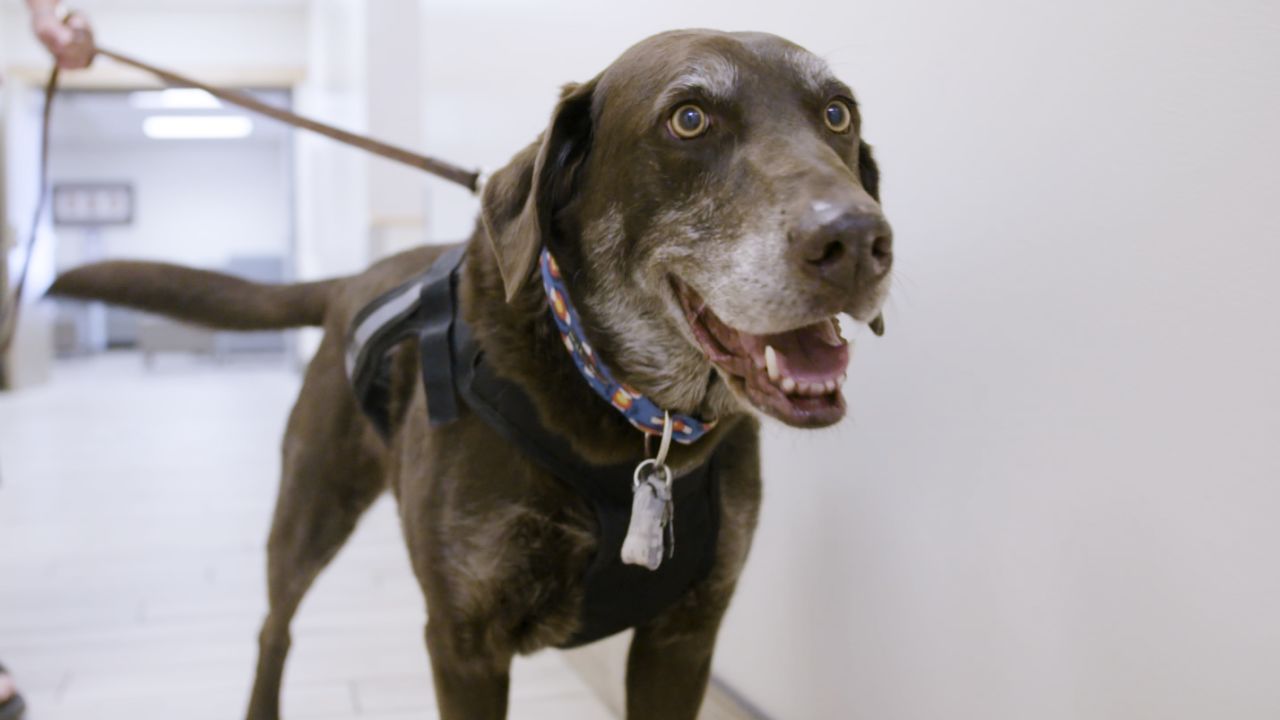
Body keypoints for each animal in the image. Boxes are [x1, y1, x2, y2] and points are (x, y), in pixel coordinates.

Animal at [47, 28, 890, 717]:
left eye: (837, 114)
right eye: (689, 119)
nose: (857, 240)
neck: (628, 414)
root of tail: (354, 278)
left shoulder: (683, 637)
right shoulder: (463, 642)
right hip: (310, 508)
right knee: (273, 629)